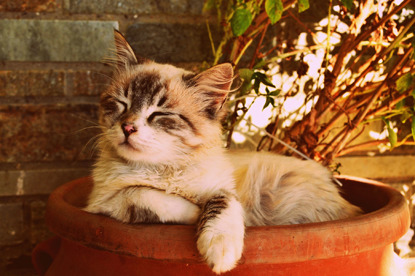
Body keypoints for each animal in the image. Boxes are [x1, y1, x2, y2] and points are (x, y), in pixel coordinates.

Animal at [86, 29, 362, 274]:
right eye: (122, 104)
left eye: (159, 114)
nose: (127, 127)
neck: (163, 169)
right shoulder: (103, 202)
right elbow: (144, 193)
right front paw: (194, 214)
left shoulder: (222, 189)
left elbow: (223, 206)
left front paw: (220, 253)